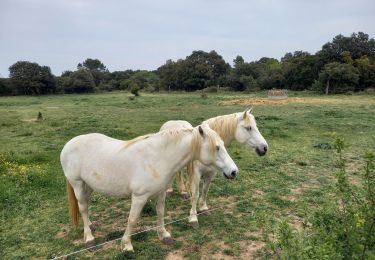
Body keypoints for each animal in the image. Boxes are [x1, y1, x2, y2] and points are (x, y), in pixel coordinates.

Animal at [61, 125, 238, 251]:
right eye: (217, 147)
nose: (234, 171)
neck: (158, 158)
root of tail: (69, 144)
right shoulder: (139, 197)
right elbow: (132, 219)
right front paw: (126, 245)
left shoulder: (160, 193)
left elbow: (160, 213)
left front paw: (164, 235)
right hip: (77, 184)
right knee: (83, 207)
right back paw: (89, 238)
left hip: (89, 185)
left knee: (86, 204)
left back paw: (91, 225)